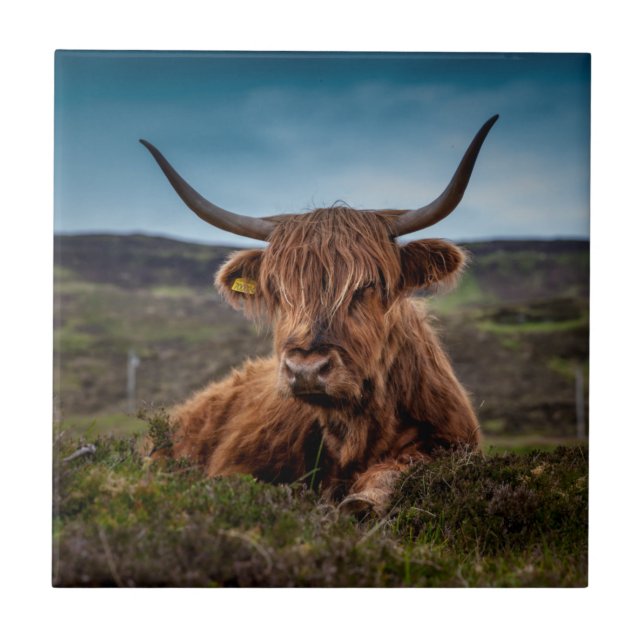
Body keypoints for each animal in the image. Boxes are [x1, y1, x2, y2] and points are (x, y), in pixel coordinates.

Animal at [140, 115, 498, 516]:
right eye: (278, 289)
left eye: (368, 285)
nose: (306, 369)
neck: (354, 433)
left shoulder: (451, 443)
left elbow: (399, 470)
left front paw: (362, 500)